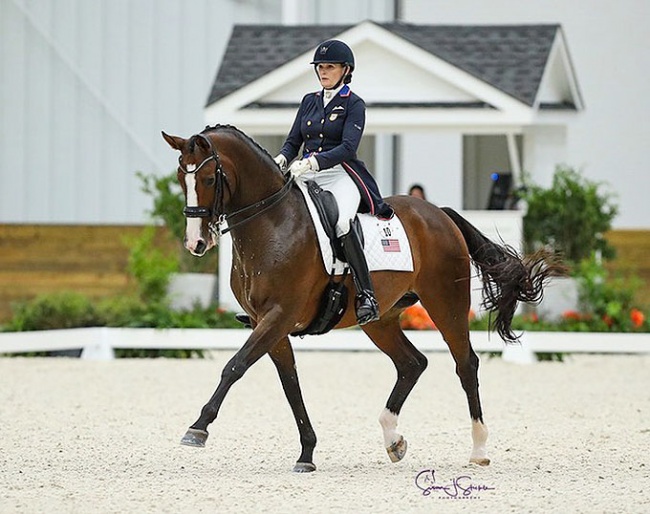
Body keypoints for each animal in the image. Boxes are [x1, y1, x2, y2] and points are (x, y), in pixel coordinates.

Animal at [161, 125, 556, 472]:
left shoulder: (279, 315)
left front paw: (197, 428)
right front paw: (307, 453)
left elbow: (235, 365)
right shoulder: (267, 322)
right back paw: (393, 439)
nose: (197, 243)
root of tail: (438, 213)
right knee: (412, 363)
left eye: (208, 179)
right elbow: (290, 385)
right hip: (380, 319)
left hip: (447, 304)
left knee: (466, 364)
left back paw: (478, 449)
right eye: (182, 179)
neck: (272, 223)